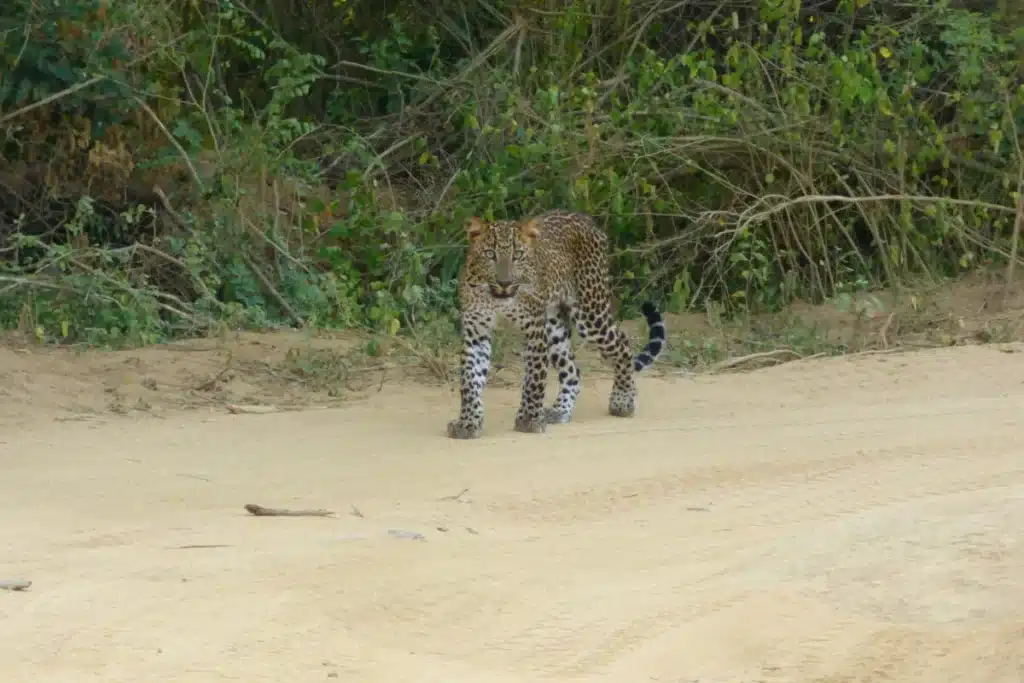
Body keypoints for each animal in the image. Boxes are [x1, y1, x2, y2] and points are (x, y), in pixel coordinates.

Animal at [446, 209, 667, 440]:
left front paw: (530, 419)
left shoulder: (534, 330)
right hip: (554, 327)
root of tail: (587, 220)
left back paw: (622, 400)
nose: (504, 282)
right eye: (490, 254)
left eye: (517, 255)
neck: (497, 298)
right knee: (573, 371)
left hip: (590, 312)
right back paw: (560, 410)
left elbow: (534, 379)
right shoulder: (476, 333)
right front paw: (468, 422)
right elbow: (469, 381)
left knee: (623, 344)